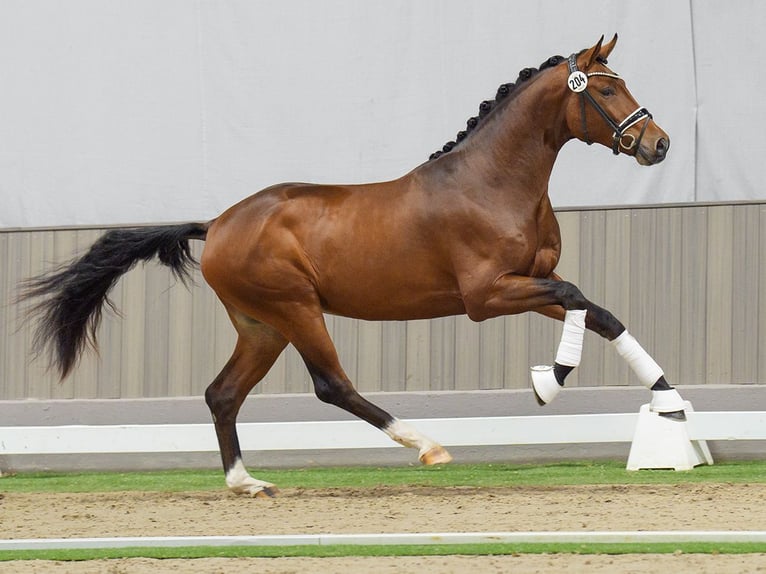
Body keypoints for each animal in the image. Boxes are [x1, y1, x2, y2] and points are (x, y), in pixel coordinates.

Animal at [24, 36, 688, 498]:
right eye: (606, 90)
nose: (658, 145)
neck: (492, 182)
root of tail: (218, 224)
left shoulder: (527, 283)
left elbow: (598, 311)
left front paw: (669, 402)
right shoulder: (487, 296)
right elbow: (577, 296)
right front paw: (550, 381)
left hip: (261, 327)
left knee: (223, 394)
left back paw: (247, 483)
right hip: (296, 309)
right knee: (330, 385)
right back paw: (427, 447)